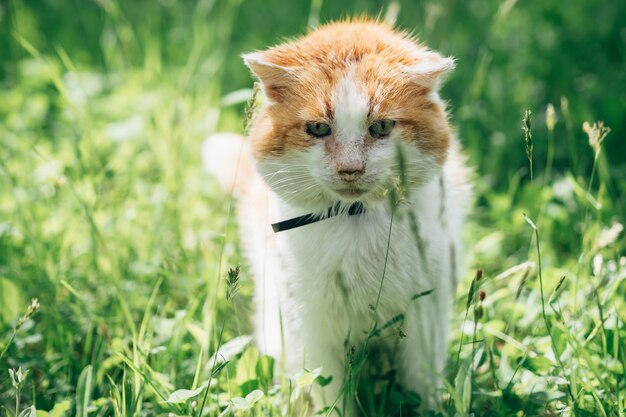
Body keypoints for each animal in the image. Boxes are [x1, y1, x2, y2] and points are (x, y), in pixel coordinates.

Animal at [205, 16, 468, 412]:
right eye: (318, 128)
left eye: (381, 127)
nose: (350, 169)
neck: (354, 219)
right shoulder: (313, 329)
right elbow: (330, 393)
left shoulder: (425, 319)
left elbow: (421, 387)